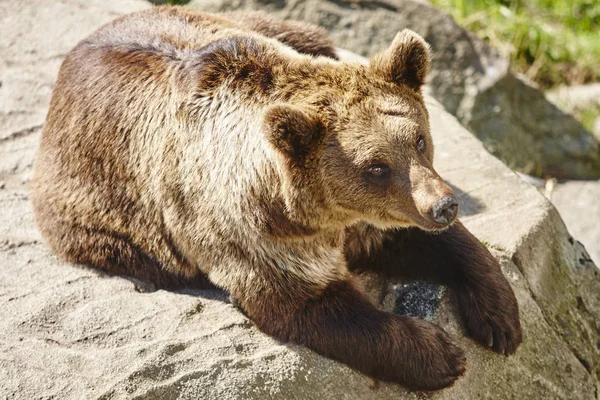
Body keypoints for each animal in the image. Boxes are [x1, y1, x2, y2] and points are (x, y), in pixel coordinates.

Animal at [31, 5, 520, 390]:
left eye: (418, 139)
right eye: (376, 167)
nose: (443, 206)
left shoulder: (368, 217)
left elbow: (434, 243)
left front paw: (501, 319)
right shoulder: (252, 231)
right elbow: (310, 304)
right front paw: (440, 354)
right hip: (93, 209)